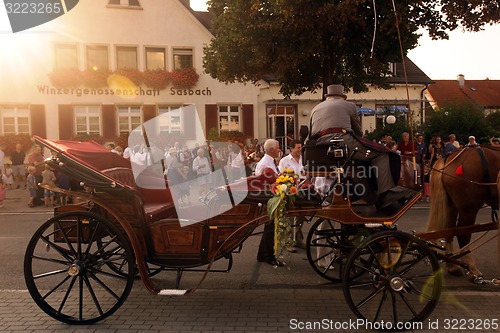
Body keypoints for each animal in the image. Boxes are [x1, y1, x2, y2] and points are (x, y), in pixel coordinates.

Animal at [426, 146, 500, 278]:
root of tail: (449, 158)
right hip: (468, 209)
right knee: (463, 235)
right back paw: (472, 269)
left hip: (451, 206)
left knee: (449, 231)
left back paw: (452, 266)